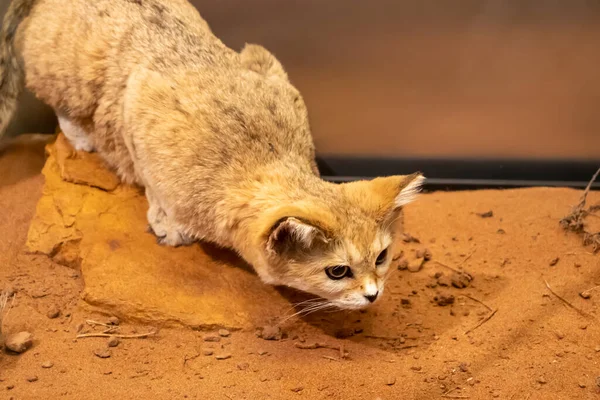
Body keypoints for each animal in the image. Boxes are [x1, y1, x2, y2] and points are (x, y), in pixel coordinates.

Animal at [0, 0, 424, 310]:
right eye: (337, 271)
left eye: (382, 257)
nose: (373, 294)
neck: (264, 157)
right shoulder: (138, 110)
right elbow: (152, 183)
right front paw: (168, 225)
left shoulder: (267, 68)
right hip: (68, 81)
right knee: (60, 106)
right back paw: (81, 136)